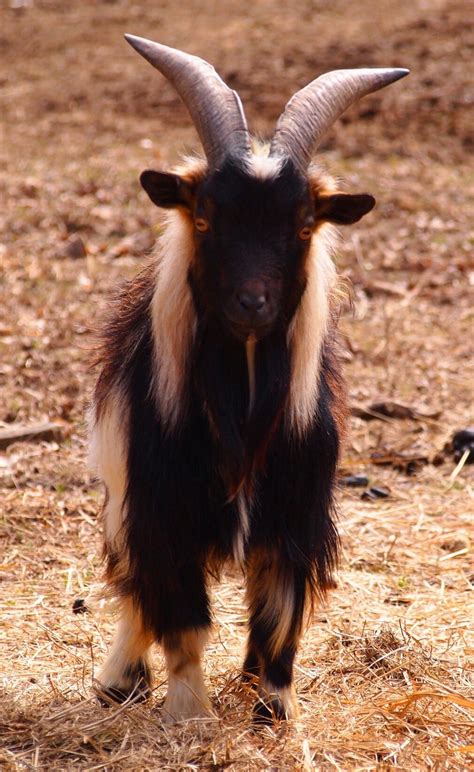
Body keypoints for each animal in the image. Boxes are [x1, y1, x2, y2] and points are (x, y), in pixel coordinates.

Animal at [90, 34, 408, 724]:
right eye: (205, 218)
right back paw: (120, 680)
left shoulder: (298, 510)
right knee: (134, 589)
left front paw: (275, 706)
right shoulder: (161, 504)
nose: (252, 303)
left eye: (303, 225)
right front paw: (189, 712)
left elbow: (280, 612)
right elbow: (181, 616)